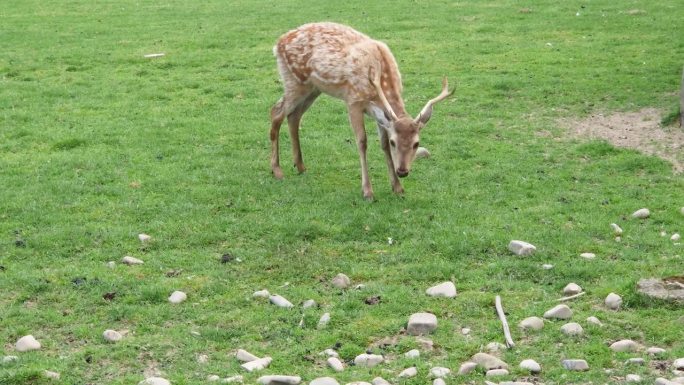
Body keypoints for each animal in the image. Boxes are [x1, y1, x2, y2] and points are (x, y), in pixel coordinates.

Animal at [268, 22, 454, 200]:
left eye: (416, 143)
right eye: (395, 142)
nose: (402, 171)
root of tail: (278, 44)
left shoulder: (380, 114)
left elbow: (382, 144)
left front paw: (397, 187)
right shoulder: (353, 101)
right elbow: (362, 142)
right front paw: (367, 191)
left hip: (313, 88)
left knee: (294, 116)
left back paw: (300, 166)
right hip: (294, 81)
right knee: (276, 112)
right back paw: (277, 170)